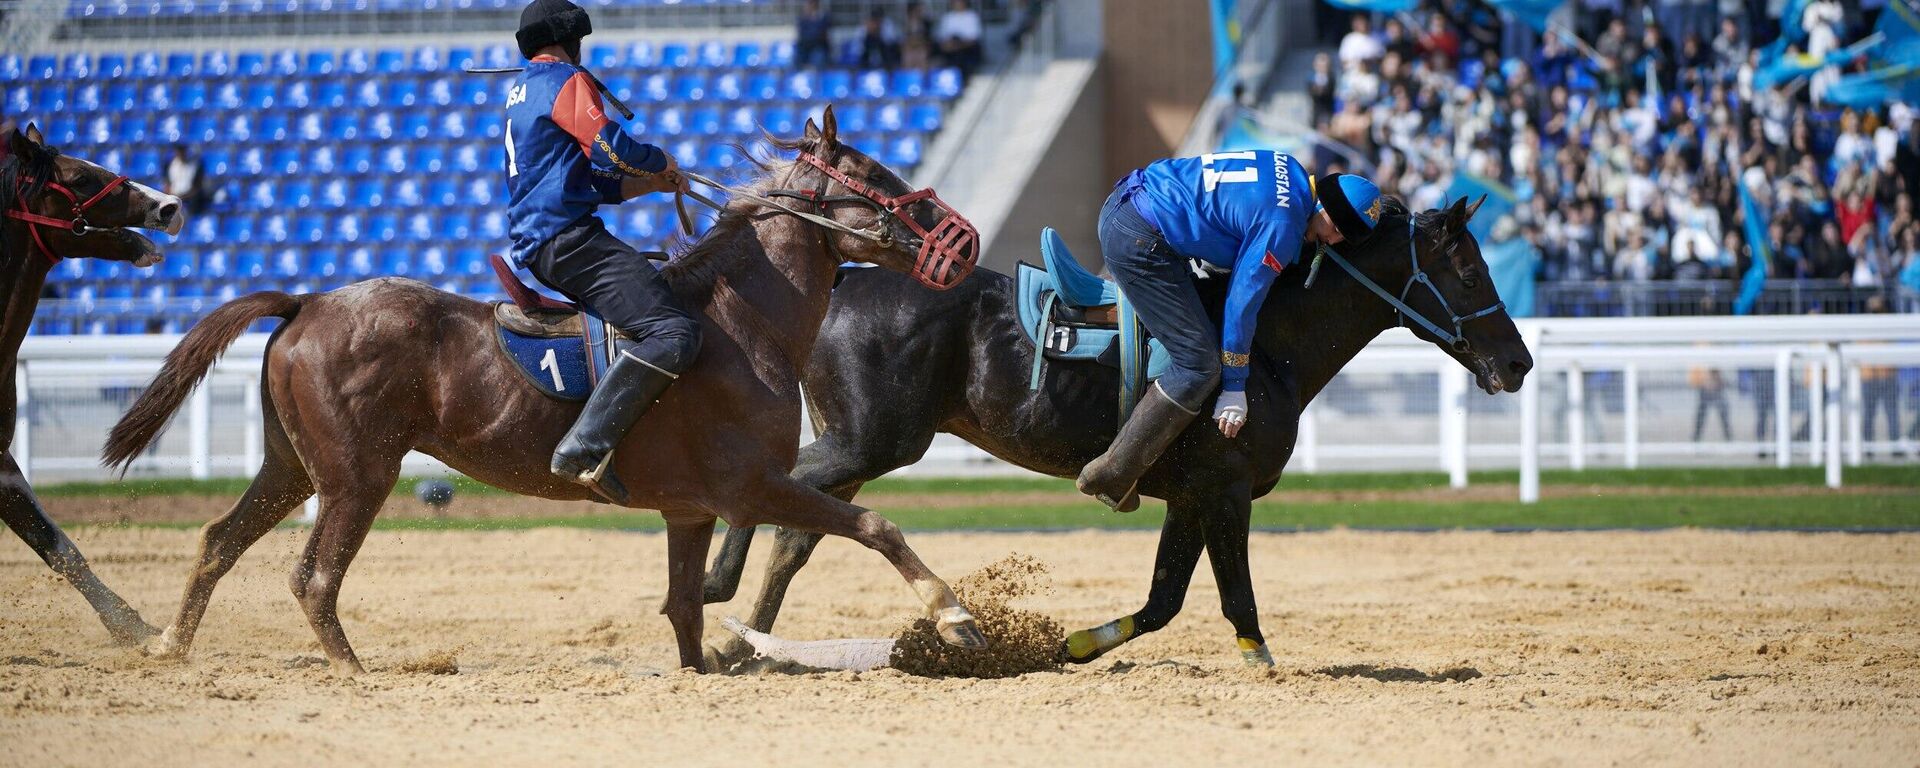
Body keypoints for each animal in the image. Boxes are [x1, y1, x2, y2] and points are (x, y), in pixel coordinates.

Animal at [101, 110, 990, 675]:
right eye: (875, 176)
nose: (965, 240)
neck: (743, 322)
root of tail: (310, 302)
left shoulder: (690, 511)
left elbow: (685, 608)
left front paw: (702, 667)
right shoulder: (753, 488)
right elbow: (874, 525)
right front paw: (954, 616)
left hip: (291, 467)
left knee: (219, 541)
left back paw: (169, 646)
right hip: (358, 476)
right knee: (312, 578)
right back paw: (352, 671)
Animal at [702, 193, 1528, 664]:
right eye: (1469, 272)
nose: (1517, 361)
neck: (1265, 342)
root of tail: (841, 279)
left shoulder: (1191, 496)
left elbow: (1163, 603)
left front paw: (1070, 646)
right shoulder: (1226, 489)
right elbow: (1235, 600)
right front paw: (1263, 664)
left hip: (860, 446)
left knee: (798, 533)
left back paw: (744, 643)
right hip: (872, 440)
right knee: (777, 493)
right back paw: (722, 595)